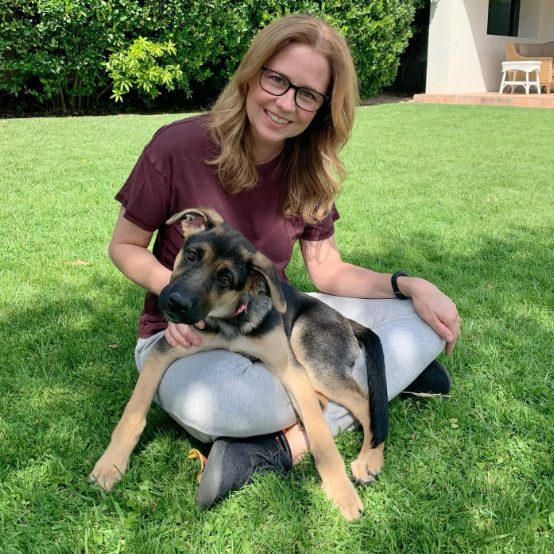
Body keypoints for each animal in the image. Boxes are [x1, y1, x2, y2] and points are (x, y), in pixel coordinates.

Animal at [88, 206, 386, 516]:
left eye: (225, 279)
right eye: (192, 255)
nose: (175, 303)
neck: (228, 321)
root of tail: (347, 321)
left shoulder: (289, 367)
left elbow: (323, 440)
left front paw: (342, 493)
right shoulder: (165, 349)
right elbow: (133, 412)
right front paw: (110, 465)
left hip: (311, 353)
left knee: (366, 402)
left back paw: (370, 460)